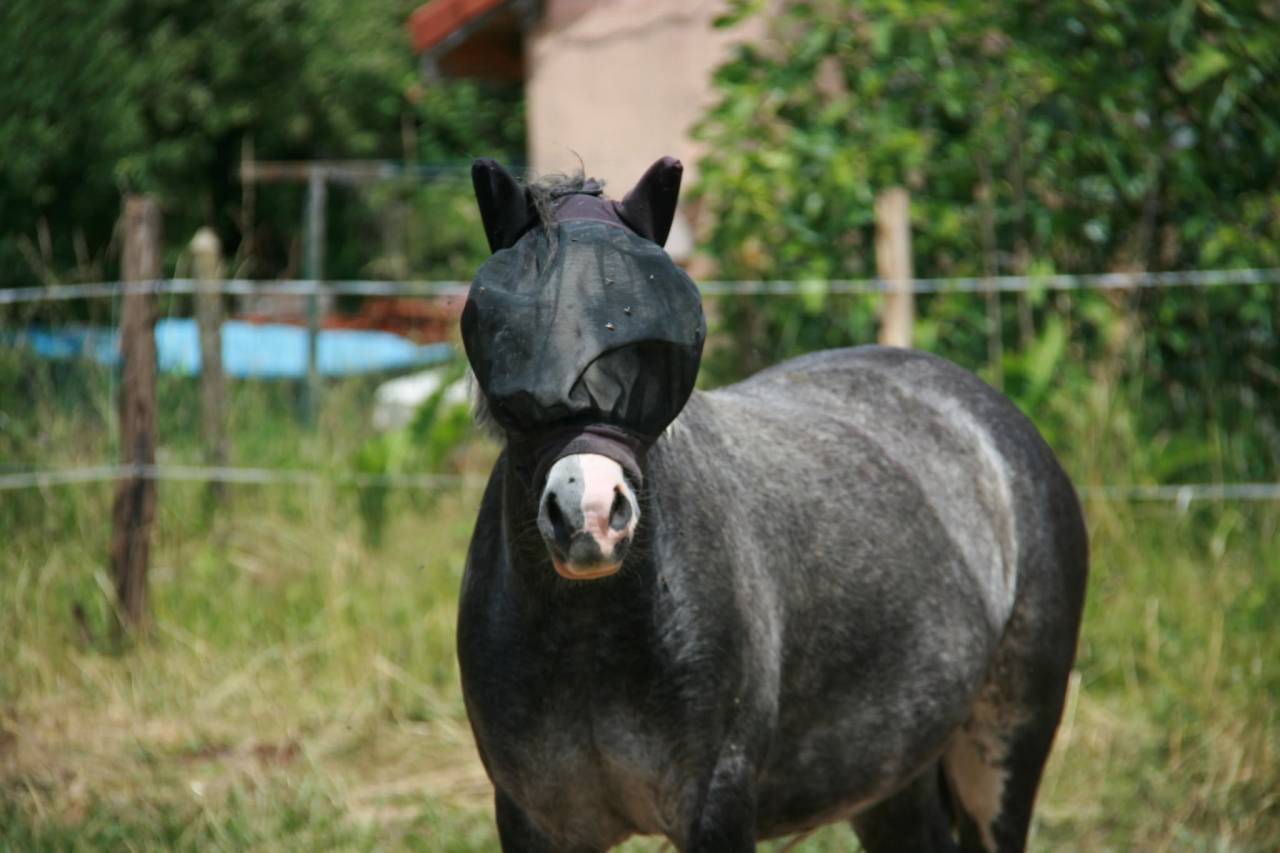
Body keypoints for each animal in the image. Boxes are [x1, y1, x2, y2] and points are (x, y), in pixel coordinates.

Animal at [455, 156, 1087, 852]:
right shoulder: (532, 820)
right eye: (505, 336)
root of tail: (991, 417)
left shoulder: (719, 804)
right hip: (892, 780)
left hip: (1002, 755)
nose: (589, 516)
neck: (589, 641)